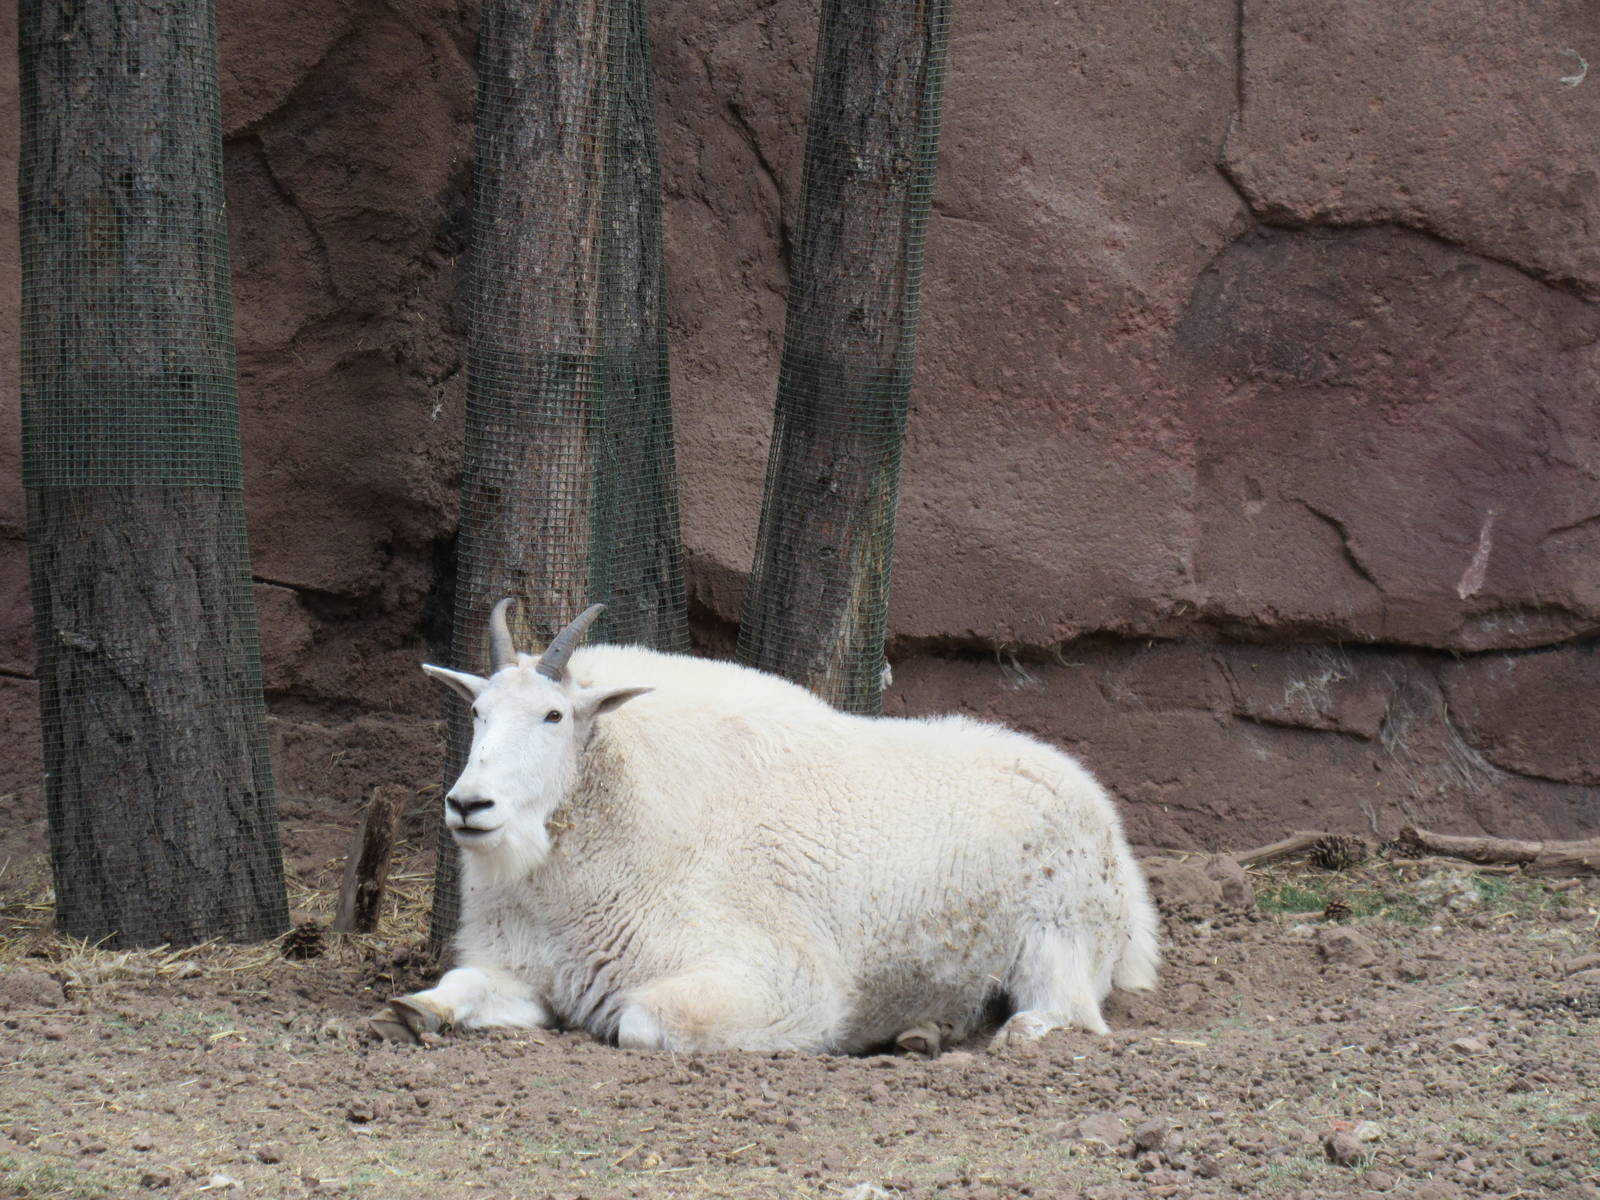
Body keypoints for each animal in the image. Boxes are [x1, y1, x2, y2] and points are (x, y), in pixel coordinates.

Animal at [370, 602, 1159, 1053]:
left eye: (554, 715)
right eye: (477, 713)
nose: (469, 806)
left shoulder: (772, 980)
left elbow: (638, 1022)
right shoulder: (529, 968)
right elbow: (458, 986)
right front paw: (409, 1014)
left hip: (1059, 939)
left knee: (1067, 1011)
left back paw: (1005, 1031)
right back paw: (923, 1029)